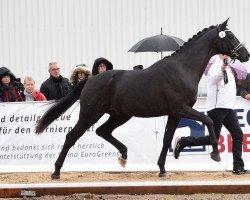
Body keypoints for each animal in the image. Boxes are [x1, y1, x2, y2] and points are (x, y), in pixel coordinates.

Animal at [35, 18, 250, 179]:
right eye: (230, 36)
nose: (245, 55)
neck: (182, 69)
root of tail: (90, 79)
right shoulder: (181, 109)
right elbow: (208, 120)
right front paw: (215, 153)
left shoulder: (174, 114)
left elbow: (167, 139)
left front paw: (163, 168)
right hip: (90, 113)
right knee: (72, 136)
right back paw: (56, 171)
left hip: (120, 115)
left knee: (103, 131)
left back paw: (123, 156)